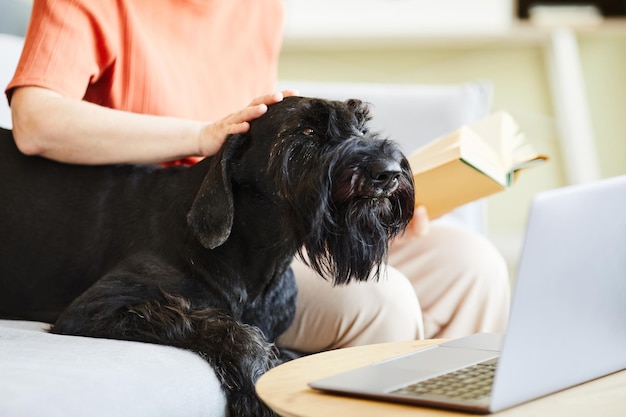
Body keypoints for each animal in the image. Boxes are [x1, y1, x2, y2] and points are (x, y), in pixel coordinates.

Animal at [0, 95, 412, 416]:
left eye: (363, 128)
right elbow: (227, 329)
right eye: (307, 132)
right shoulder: (100, 307)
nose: (389, 172)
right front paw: (257, 392)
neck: (258, 257)